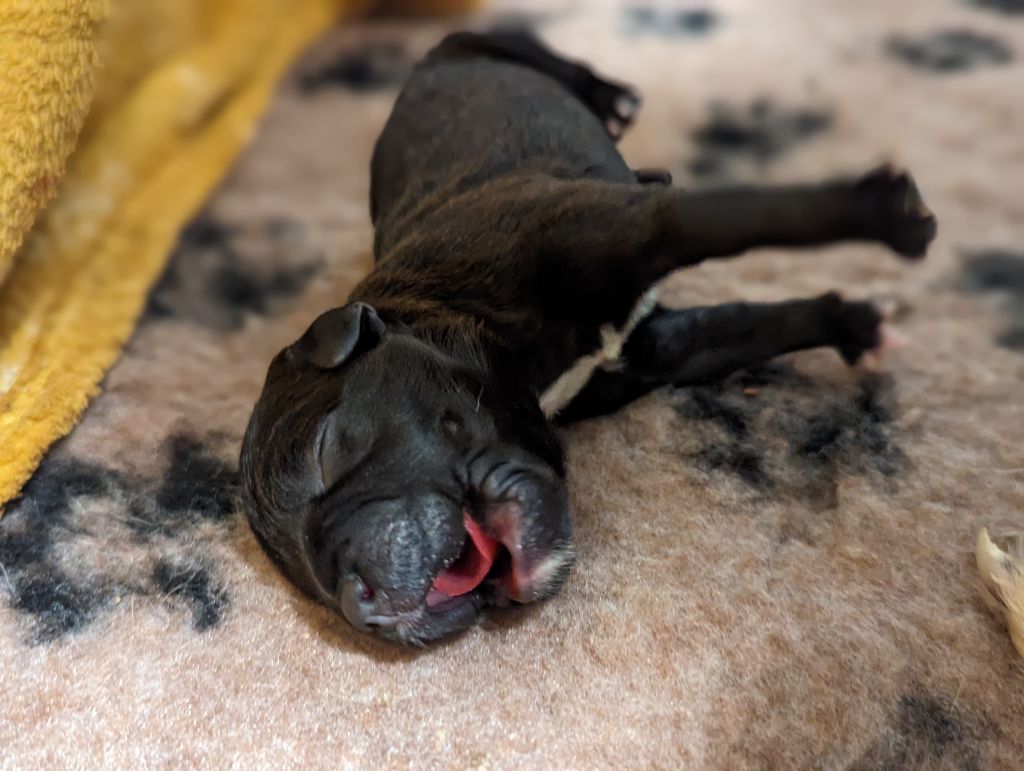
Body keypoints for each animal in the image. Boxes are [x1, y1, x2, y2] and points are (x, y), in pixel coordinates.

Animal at [239, 30, 937, 643]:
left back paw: (616, 98)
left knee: (552, 59)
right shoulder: (660, 349)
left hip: (487, 46)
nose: (359, 603)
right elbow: (756, 324)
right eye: (319, 591)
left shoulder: (637, 229)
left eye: (328, 450)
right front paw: (854, 324)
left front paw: (885, 213)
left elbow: (754, 214)